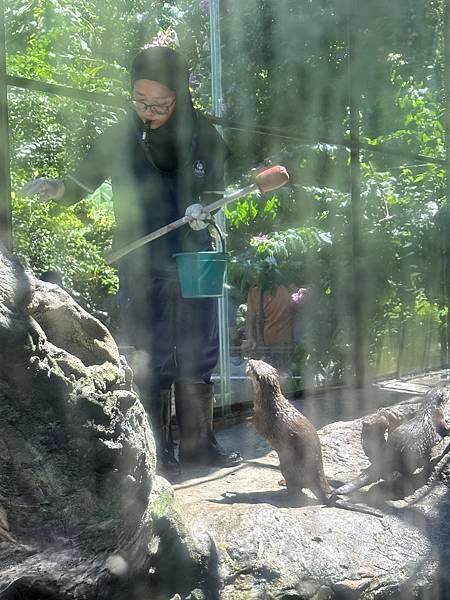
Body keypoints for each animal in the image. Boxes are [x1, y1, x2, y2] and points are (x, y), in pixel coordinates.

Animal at [246, 358, 384, 516]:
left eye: (253, 366)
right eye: (258, 361)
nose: (249, 360)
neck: (269, 404)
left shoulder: (263, 420)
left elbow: (257, 425)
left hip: (288, 467)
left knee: (296, 489)